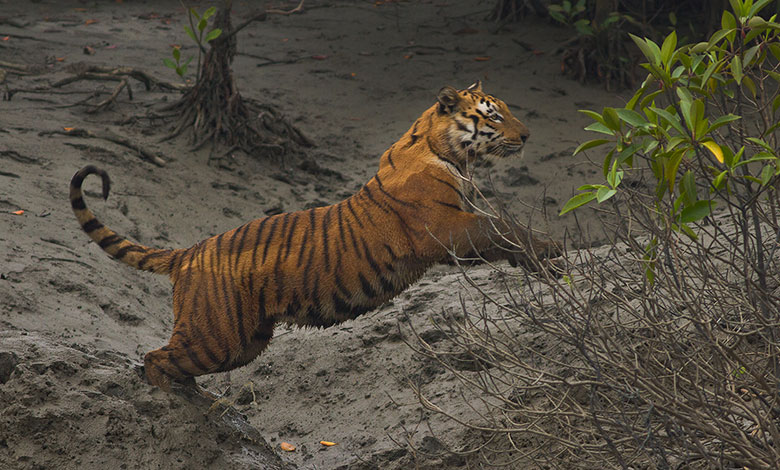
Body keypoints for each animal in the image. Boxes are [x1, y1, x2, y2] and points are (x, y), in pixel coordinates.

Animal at [68, 80, 560, 390]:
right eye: (494, 115)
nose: (528, 135)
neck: (451, 154)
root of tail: (190, 250)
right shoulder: (445, 228)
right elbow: (500, 225)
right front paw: (548, 249)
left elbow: (499, 229)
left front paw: (536, 256)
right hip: (215, 336)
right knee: (155, 358)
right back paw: (175, 398)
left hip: (245, 342)